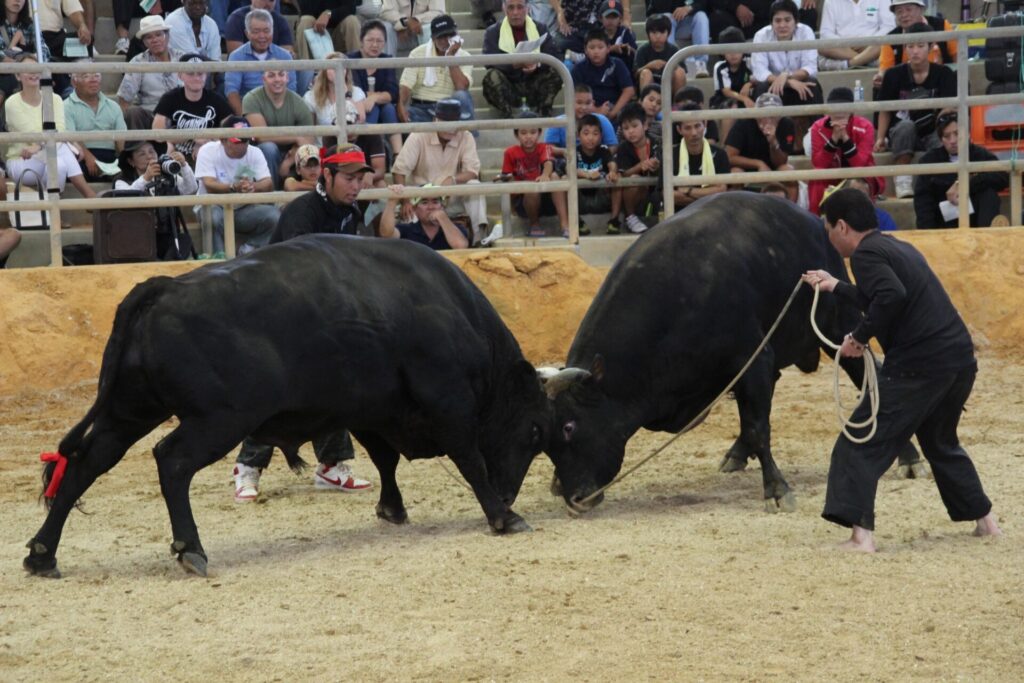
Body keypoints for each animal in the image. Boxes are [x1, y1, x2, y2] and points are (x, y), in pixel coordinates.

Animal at [25, 235, 552, 577]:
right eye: (533, 432)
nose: (509, 494)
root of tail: (161, 288)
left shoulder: (372, 409)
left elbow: (385, 459)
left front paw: (392, 508)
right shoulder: (449, 402)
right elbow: (469, 459)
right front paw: (503, 517)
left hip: (129, 412)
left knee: (85, 464)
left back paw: (42, 553)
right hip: (217, 420)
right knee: (171, 461)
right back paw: (191, 547)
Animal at [544, 192, 921, 511]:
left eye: (569, 426)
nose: (572, 496)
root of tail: (815, 224)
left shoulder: (752, 359)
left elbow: (758, 427)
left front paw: (777, 489)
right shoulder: (744, 369)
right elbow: (752, 419)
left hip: (839, 326)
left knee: (869, 376)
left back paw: (909, 457)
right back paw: (738, 453)